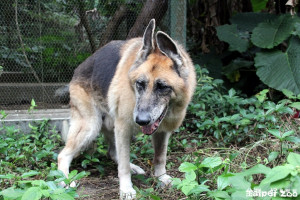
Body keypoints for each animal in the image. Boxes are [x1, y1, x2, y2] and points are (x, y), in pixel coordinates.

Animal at [57, 18, 196, 198]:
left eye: (162, 86)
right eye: (140, 84)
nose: (141, 120)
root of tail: (77, 70)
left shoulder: (162, 132)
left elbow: (160, 157)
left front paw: (161, 177)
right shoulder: (123, 128)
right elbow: (122, 166)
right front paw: (126, 189)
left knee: (112, 152)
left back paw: (133, 166)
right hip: (91, 127)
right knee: (63, 155)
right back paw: (65, 181)